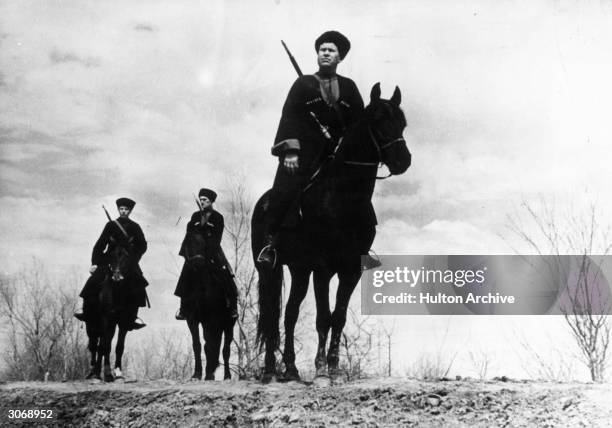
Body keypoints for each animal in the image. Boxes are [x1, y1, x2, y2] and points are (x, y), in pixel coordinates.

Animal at [85, 241, 142, 382]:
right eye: (111, 256)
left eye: (127, 257)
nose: (117, 277)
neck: (118, 291)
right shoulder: (106, 319)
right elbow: (104, 347)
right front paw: (105, 374)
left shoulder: (123, 322)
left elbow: (118, 347)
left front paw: (118, 373)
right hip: (91, 325)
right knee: (95, 346)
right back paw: (93, 372)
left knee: (103, 344)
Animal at [179, 226, 237, 380]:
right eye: (188, 243)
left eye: (204, 244)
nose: (198, 262)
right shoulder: (192, 320)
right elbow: (197, 345)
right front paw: (197, 373)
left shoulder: (212, 320)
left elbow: (211, 346)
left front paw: (209, 373)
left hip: (228, 325)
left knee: (225, 349)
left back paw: (226, 375)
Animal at [253, 83, 412, 382]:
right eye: (377, 120)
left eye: (402, 122)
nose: (403, 160)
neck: (344, 197)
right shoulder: (323, 268)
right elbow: (323, 317)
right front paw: (320, 370)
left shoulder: (350, 270)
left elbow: (338, 317)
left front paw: (335, 366)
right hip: (270, 269)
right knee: (271, 314)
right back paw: (269, 370)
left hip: (300, 271)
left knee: (290, 313)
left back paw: (291, 369)